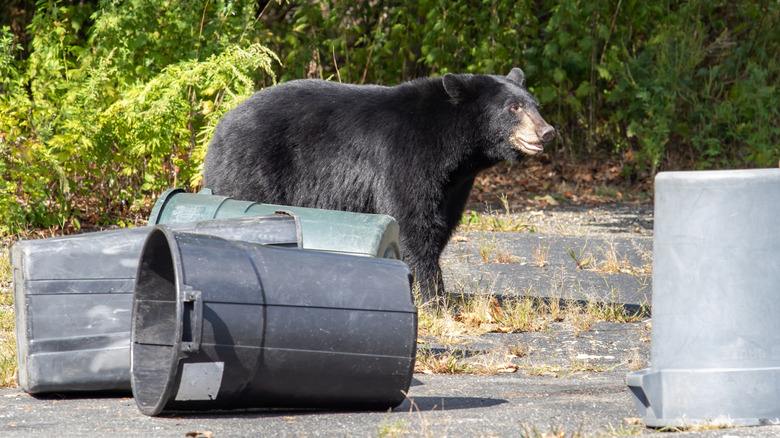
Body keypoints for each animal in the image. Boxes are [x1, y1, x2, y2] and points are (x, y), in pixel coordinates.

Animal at [203, 68, 555, 299]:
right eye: (513, 107)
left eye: (535, 105)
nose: (547, 132)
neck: (455, 146)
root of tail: (221, 127)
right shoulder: (406, 156)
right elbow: (411, 218)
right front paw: (432, 294)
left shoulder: (454, 184)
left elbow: (441, 221)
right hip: (253, 168)